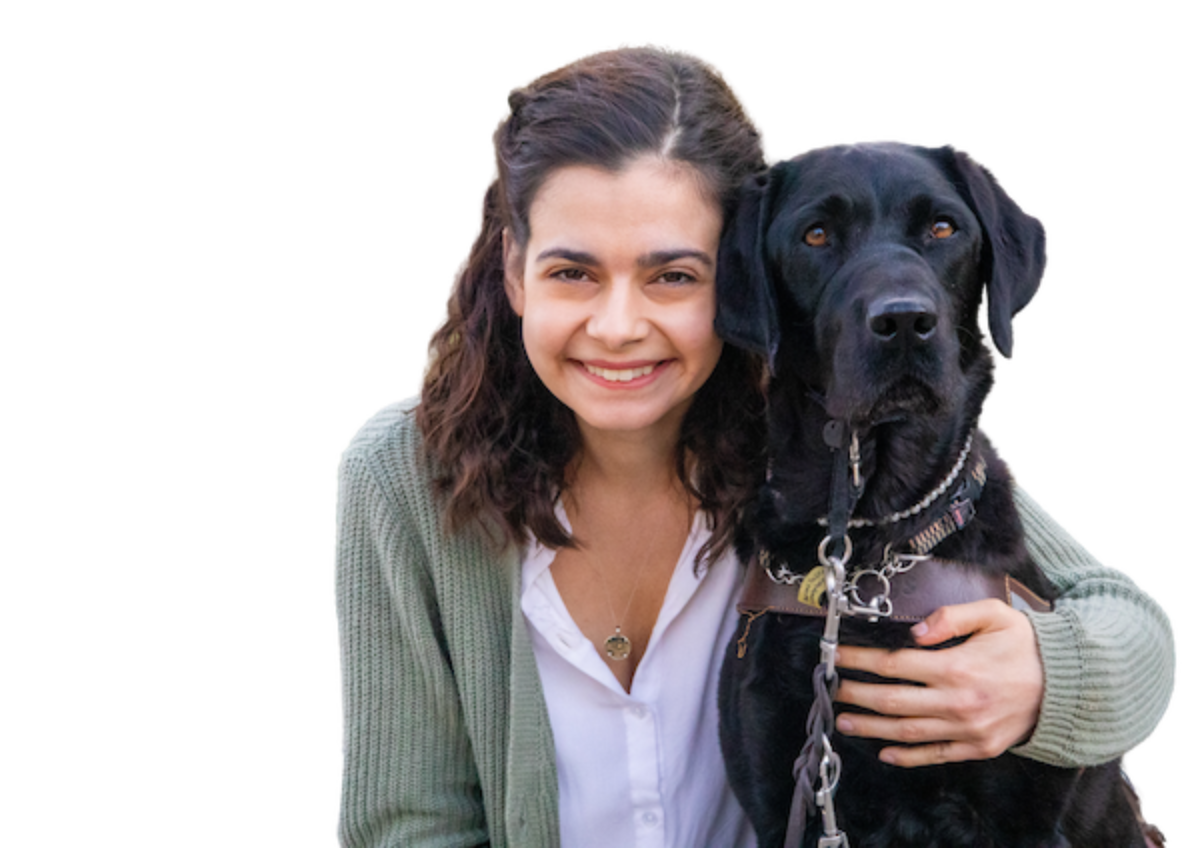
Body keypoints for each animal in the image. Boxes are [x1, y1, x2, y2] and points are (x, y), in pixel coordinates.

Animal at [715, 140, 1137, 848]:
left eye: (943, 228)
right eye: (816, 235)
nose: (905, 319)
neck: (876, 541)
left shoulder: (1023, 818)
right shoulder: (781, 802)